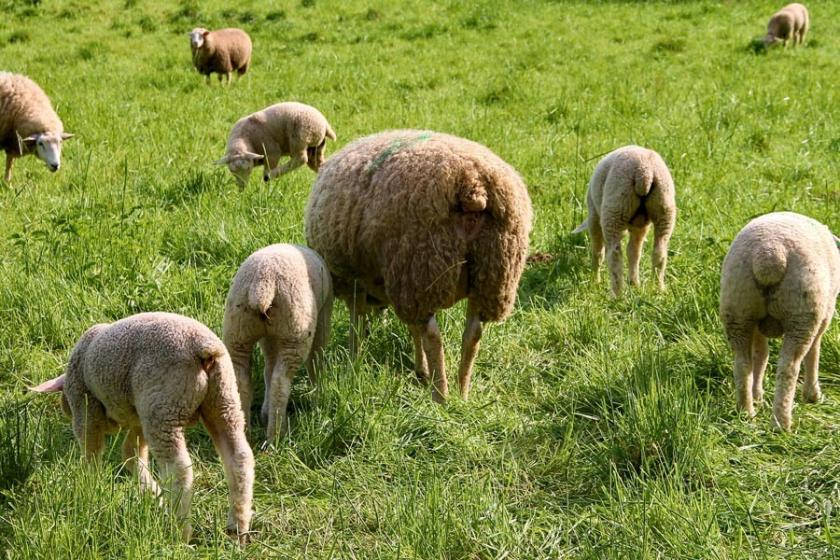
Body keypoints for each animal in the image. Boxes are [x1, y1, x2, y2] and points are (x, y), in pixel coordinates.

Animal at [30, 310, 253, 544]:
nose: (64, 408)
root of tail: (203, 347)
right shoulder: (138, 419)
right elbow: (131, 454)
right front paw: (154, 496)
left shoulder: (85, 407)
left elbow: (92, 452)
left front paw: (89, 484)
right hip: (223, 399)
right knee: (239, 457)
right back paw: (237, 527)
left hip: (163, 406)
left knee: (179, 468)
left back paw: (180, 531)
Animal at [223, 244, 334, 442]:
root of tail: (263, 283)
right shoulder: (323, 316)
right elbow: (316, 359)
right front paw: (319, 393)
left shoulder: (270, 338)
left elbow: (269, 367)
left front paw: (264, 412)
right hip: (295, 333)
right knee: (280, 383)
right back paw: (276, 436)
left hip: (238, 331)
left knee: (242, 380)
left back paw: (245, 433)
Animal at [306, 130, 536, 402]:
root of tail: (473, 185)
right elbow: (410, 328)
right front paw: (420, 369)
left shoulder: (355, 282)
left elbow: (358, 323)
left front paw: (354, 361)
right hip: (492, 275)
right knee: (473, 332)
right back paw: (462, 391)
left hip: (420, 267)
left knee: (433, 336)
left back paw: (441, 395)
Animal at [572, 144, 676, 298]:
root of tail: (644, 173)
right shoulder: (640, 226)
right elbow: (633, 252)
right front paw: (634, 284)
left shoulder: (594, 217)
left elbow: (598, 251)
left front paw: (594, 281)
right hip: (664, 209)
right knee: (660, 252)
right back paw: (657, 289)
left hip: (615, 208)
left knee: (614, 254)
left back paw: (617, 295)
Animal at [716, 212, 840, 430]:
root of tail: (769, 255)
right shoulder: (824, 315)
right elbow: (814, 352)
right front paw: (813, 395)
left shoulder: (756, 325)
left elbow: (761, 354)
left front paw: (757, 394)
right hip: (801, 313)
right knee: (788, 367)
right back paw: (781, 423)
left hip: (738, 309)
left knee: (742, 363)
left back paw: (746, 412)